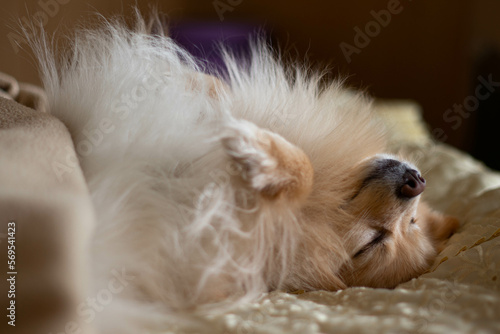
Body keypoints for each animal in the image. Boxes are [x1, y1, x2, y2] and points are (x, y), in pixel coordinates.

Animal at [28, 12, 458, 324]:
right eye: (413, 222)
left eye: (373, 243)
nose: (416, 182)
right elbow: (210, 90)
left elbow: (297, 175)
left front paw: (257, 152)